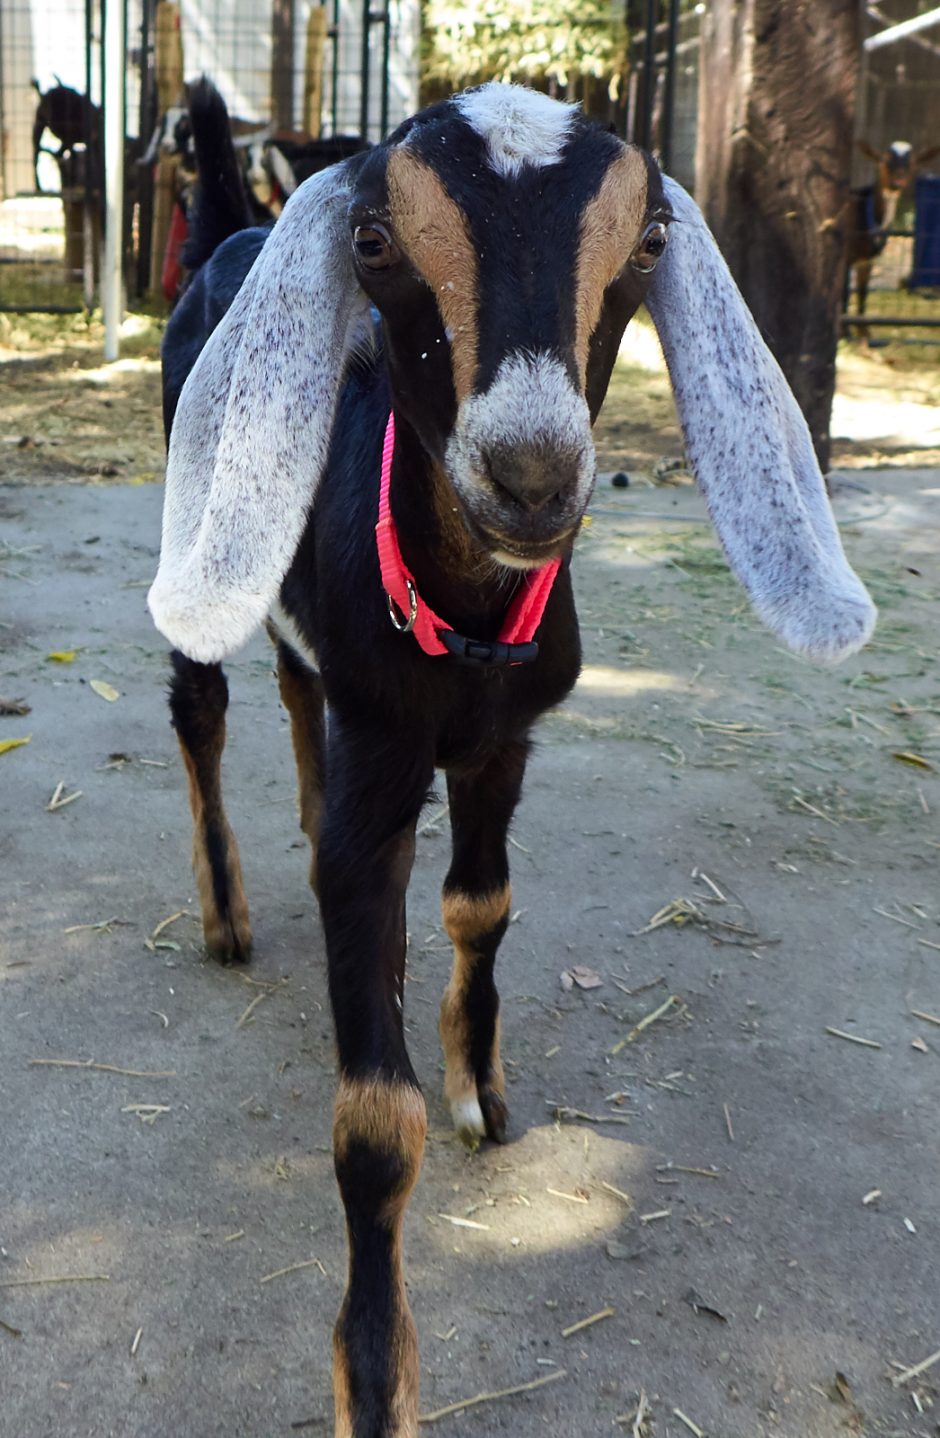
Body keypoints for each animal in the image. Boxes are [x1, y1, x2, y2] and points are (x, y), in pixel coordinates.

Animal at [150, 79, 875, 1438]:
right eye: (374, 240)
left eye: (648, 243)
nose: (530, 475)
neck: (464, 625)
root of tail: (230, 231)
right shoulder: (389, 758)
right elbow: (372, 1116)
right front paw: (374, 1377)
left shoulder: (503, 742)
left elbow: (479, 903)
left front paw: (480, 1085)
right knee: (201, 706)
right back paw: (224, 911)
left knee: (292, 681)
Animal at [846, 139, 940, 339]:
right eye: (885, 159)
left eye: (911, 162)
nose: (899, 179)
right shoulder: (846, 257)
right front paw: (846, 332)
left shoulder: (867, 260)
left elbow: (862, 293)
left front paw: (863, 333)